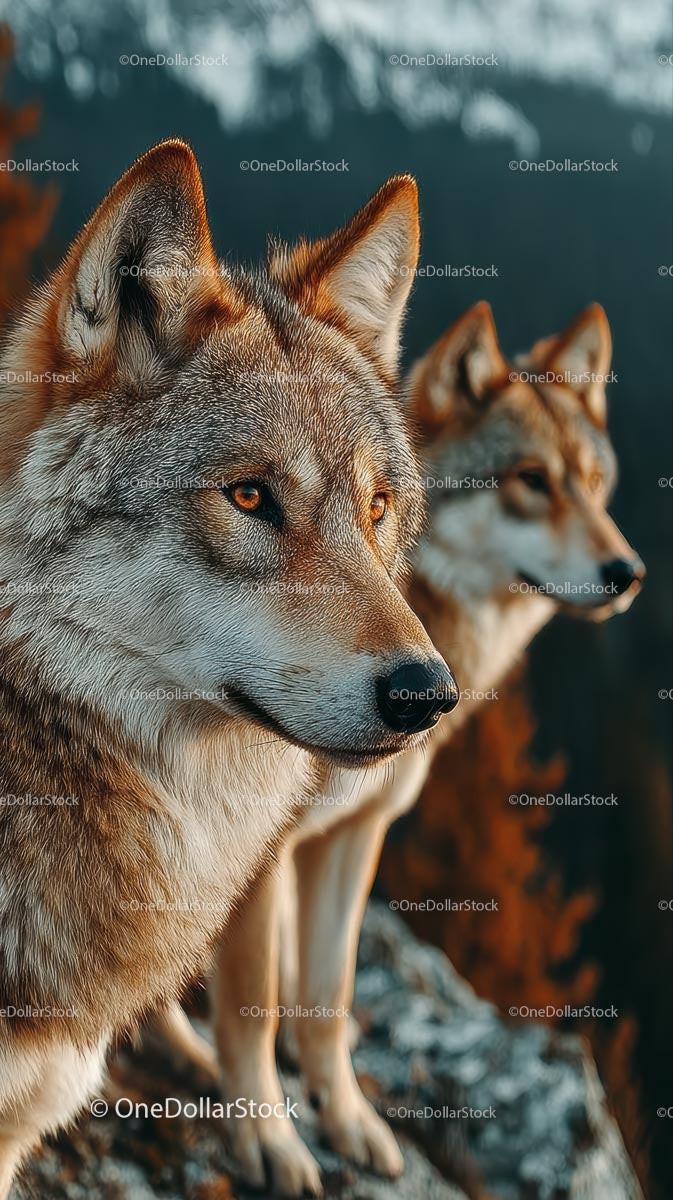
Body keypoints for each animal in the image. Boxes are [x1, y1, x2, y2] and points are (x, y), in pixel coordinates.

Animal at [159, 300, 644, 1195]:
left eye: (592, 487)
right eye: (531, 480)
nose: (625, 571)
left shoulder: (356, 834)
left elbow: (328, 994)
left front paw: (348, 1121)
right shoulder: (259, 847)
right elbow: (251, 1002)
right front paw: (268, 1138)